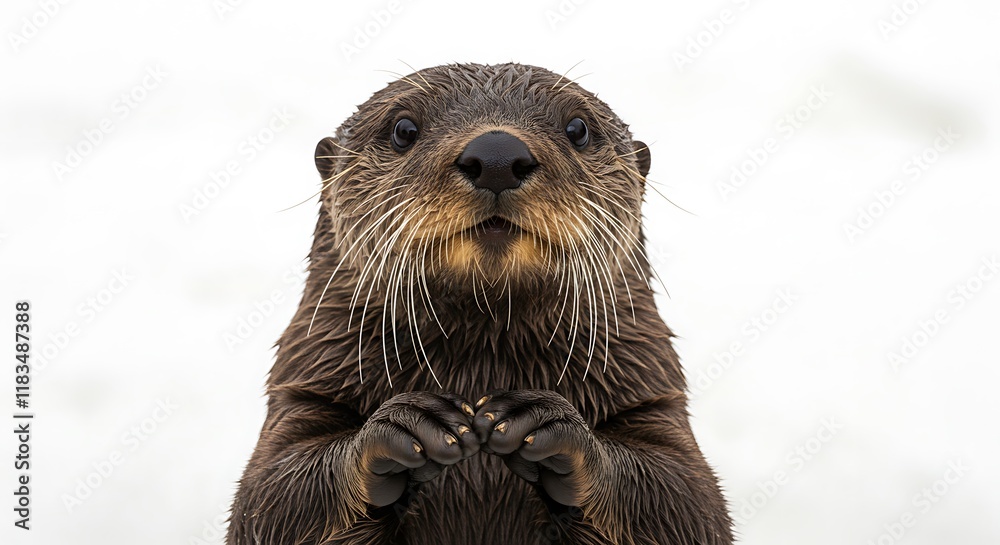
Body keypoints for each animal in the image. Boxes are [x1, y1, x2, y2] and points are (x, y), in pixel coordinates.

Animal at [227, 63, 733, 545]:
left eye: (578, 128)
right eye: (403, 129)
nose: (496, 155)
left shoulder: (654, 390)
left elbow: (688, 497)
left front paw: (541, 421)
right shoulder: (302, 385)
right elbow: (269, 495)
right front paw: (411, 425)